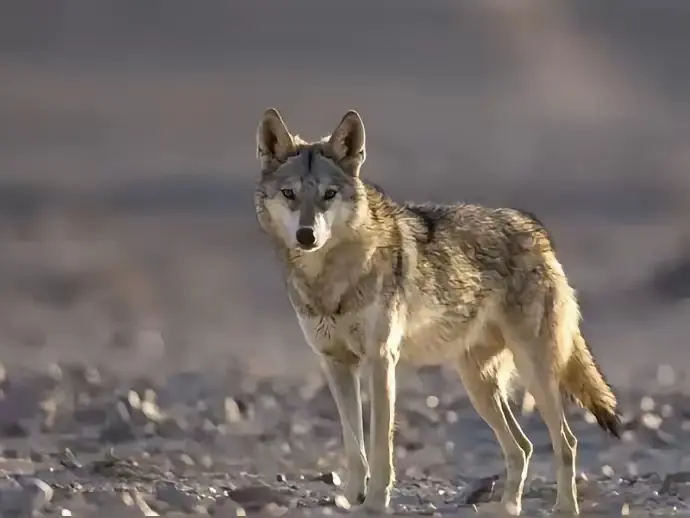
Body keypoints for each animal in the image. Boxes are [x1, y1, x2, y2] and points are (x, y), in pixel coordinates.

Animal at [251, 108, 620, 516]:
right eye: (290, 194)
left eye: (328, 195)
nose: (307, 235)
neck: (328, 278)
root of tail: (536, 230)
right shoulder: (336, 363)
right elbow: (353, 444)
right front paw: (351, 496)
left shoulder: (381, 360)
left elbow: (380, 446)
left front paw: (375, 502)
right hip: (478, 385)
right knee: (522, 446)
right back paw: (507, 507)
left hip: (533, 374)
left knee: (566, 441)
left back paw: (564, 508)